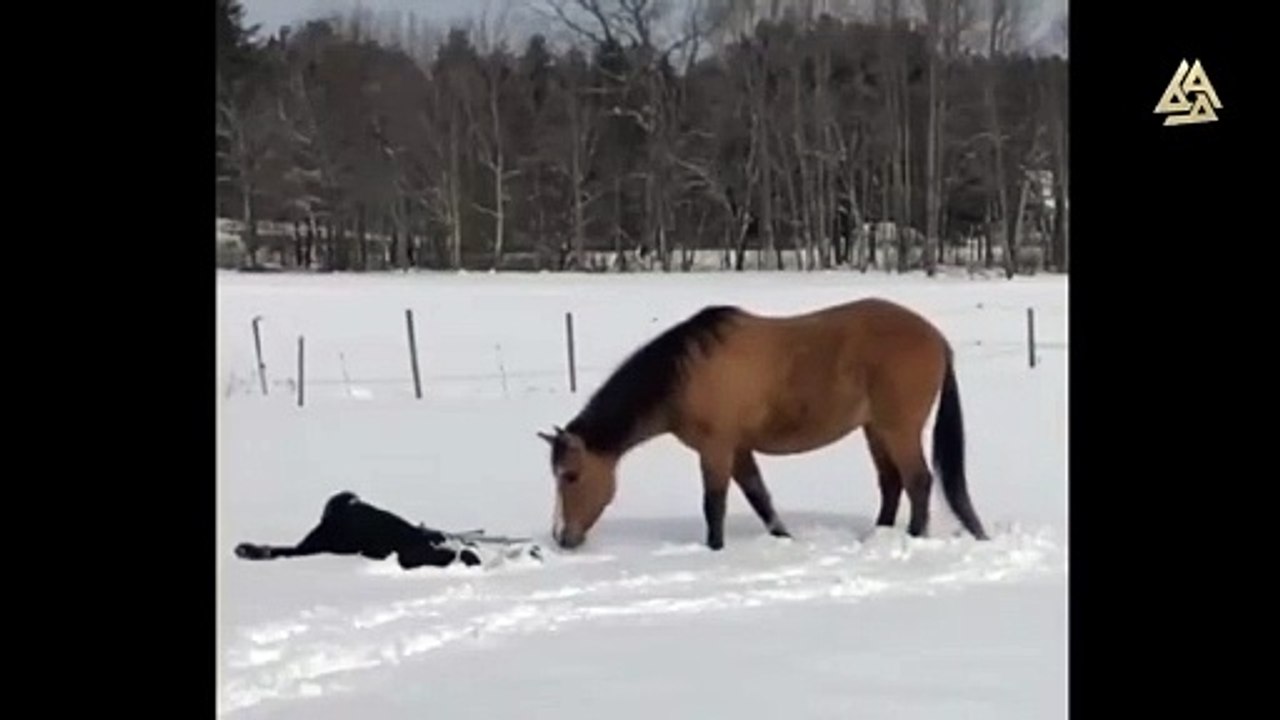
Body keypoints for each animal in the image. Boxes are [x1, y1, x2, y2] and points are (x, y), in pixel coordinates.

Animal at [537, 297, 989, 551]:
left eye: (571, 476)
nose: (562, 538)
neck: (686, 372)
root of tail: (937, 339)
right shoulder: (738, 450)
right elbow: (759, 497)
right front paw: (783, 539)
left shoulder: (716, 448)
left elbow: (714, 505)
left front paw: (715, 550)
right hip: (875, 429)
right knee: (892, 483)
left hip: (898, 428)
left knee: (918, 481)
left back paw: (913, 539)